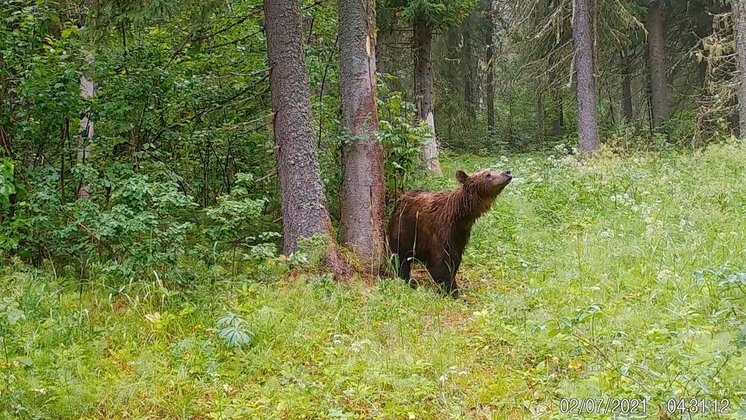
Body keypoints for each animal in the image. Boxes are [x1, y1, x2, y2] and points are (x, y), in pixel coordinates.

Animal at [384, 169, 512, 296]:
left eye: (492, 170)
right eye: (488, 174)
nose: (507, 172)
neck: (459, 217)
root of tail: (400, 199)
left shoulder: (460, 237)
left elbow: (455, 261)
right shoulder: (440, 232)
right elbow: (440, 264)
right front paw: (451, 290)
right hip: (404, 230)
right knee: (400, 258)